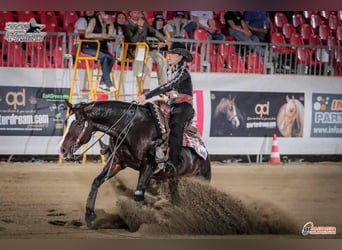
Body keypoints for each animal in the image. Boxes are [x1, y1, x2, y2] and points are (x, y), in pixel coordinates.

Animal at [58, 100, 211, 229]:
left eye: (78, 123)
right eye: (66, 122)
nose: (62, 150)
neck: (130, 127)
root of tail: (205, 156)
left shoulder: (148, 166)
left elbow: (138, 195)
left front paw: (144, 221)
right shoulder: (117, 161)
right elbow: (96, 182)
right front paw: (89, 216)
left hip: (200, 179)